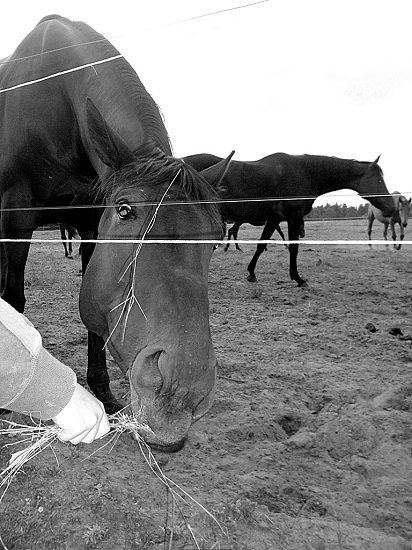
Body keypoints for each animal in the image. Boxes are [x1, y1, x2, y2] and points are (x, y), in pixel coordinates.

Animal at [0, 15, 232, 452]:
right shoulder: (15, 218)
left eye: (216, 235)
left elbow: (93, 318)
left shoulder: (90, 224)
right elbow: (15, 299)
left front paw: (103, 391)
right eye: (125, 210)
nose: (182, 391)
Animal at [184, 153, 396, 286]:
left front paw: (251, 273)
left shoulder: (274, 218)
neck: (304, 173)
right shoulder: (293, 217)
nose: (391, 207)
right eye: (379, 180)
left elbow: (262, 244)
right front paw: (298, 278)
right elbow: (293, 247)